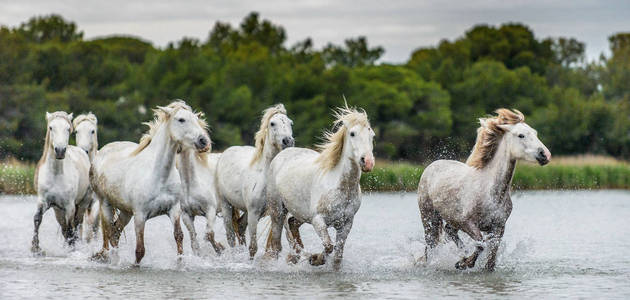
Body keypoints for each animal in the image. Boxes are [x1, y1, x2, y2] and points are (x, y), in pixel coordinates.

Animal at [31, 110, 90, 253]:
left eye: (68, 129)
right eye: (51, 127)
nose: (60, 151)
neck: (56, 174)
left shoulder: (69, 206)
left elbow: (70, 229)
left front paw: (71, 248)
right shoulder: (43, 201)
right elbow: (37, 219)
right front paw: (35, 248)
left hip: (83, 203)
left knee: (76, 225)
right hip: (58, 210)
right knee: (64, 228)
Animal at [90, 100, 210, 262]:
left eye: (197, 119)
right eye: (181, 120)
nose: (203, 141)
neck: (159, 176)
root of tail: (101, 152)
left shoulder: (174, 209)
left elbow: (178, 237)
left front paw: (180, 262)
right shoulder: (140, 215)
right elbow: (140, 250)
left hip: (126, 211)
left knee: (115, 232)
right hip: (105, 204)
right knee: (108, 233)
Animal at [216, 103, 296, 258]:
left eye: (291, 123)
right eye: (272, 123)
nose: (288, 141)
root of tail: (225, 153)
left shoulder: (278, 212)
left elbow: (283, 242)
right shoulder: (254, 213)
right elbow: (253, 247)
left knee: (240, 226)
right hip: (226, 204)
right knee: (231, 236)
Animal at [266, 105, 376, 270]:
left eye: (372, 135)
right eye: (352, 133)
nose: (367, 162)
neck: (341, 186)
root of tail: (282, 154)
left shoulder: (346, 223)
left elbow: (337, 256)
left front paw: (317, 260)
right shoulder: (318, 220)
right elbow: (329, 246)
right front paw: (315, 259)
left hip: (301, 214)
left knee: (292, 223)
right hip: (278, 211)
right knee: (276, 244)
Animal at [420, 108, 552, 272]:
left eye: (535, 133)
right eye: (521, 135)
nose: (545, 155)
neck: (491, 193)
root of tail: (431, 166)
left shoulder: (498, 227)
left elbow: (490, 259)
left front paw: (466, 261)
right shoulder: (467, 222)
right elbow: (480, 244)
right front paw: (463, 263)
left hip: (450, 219)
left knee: (449, 231)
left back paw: (462, 252)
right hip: (429, 217)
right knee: (431, 245)